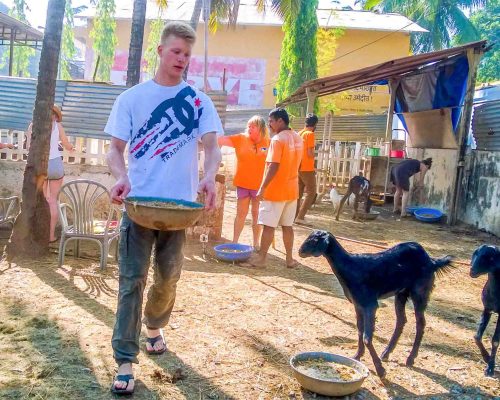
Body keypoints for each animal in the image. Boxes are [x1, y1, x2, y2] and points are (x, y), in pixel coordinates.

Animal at [298, 230, 456, 376]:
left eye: (314, 240)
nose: (300, 252)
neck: (351, 267)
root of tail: (432, 261)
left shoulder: (370, 304)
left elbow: (367, 337)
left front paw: (380, 370)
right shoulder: (358, 304)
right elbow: (360, 330)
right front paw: (357, 356)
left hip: (420, 291)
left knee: (420, 323)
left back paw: (410, 358)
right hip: (401, 293)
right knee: (401, 320)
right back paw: (386, 353)